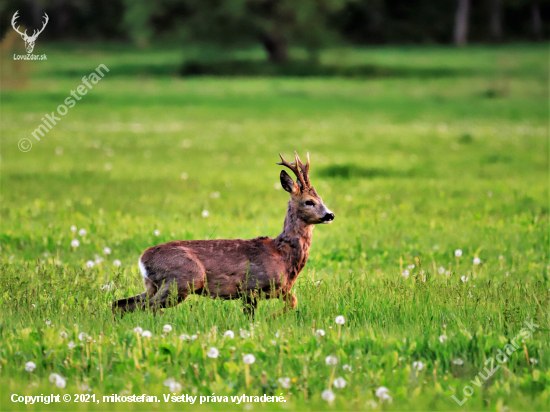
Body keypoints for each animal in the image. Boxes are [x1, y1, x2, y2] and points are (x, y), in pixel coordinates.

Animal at [112, 153, 334, 318]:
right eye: (309, 202)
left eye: (322, 199)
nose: (330, 215)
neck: (282, 255)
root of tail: (143, 259)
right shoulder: (251, 287)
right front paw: (269, 319)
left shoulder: (277, 290)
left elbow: (293, 302)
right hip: (184, 279)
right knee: (148, 306)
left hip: (153, 284)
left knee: (120, 303)